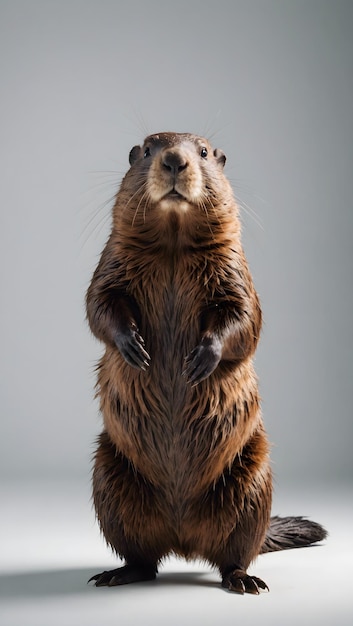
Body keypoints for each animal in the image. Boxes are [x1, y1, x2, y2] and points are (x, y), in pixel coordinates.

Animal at [84, 130, 324, 588]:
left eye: (204, 151)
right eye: (146, 149)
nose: (174, 160)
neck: (174, 243)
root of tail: (183, 542)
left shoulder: (234, 265)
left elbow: (245, 317)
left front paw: (198, 361)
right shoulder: (114, 256)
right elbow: (100, 302)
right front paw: (136, 348)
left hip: (253, 481)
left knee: (236, 552)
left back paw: (244, 581)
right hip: (109, 473)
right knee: (141, 557)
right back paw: (116, 573)